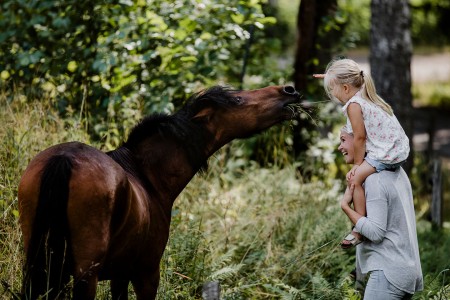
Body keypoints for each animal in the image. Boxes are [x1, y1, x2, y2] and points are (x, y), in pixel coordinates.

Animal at [17, 85, 300, 298]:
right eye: (238, 99)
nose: (289, 90)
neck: (147, 177)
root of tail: (64, 159)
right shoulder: (146, 274)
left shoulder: (120, 275)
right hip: (85, 274)